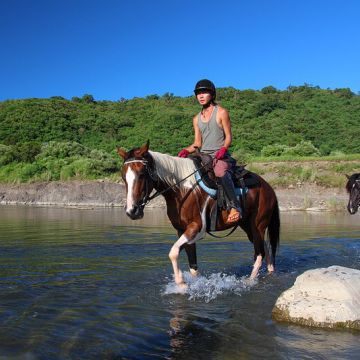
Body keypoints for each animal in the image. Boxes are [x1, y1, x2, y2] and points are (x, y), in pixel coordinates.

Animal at [118, 142, 282, 286]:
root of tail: (268, 187)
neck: (182, 189)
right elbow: (192, 265)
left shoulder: (196, 227)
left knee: (259, 253)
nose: (132, 211)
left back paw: (250, 280)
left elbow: (173, 252)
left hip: (258, 225)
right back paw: (270, 271)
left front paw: (180, 283)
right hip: (247, 225)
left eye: (141, 174)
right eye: (123, 176)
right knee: (265, 248)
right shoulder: (182, 231)